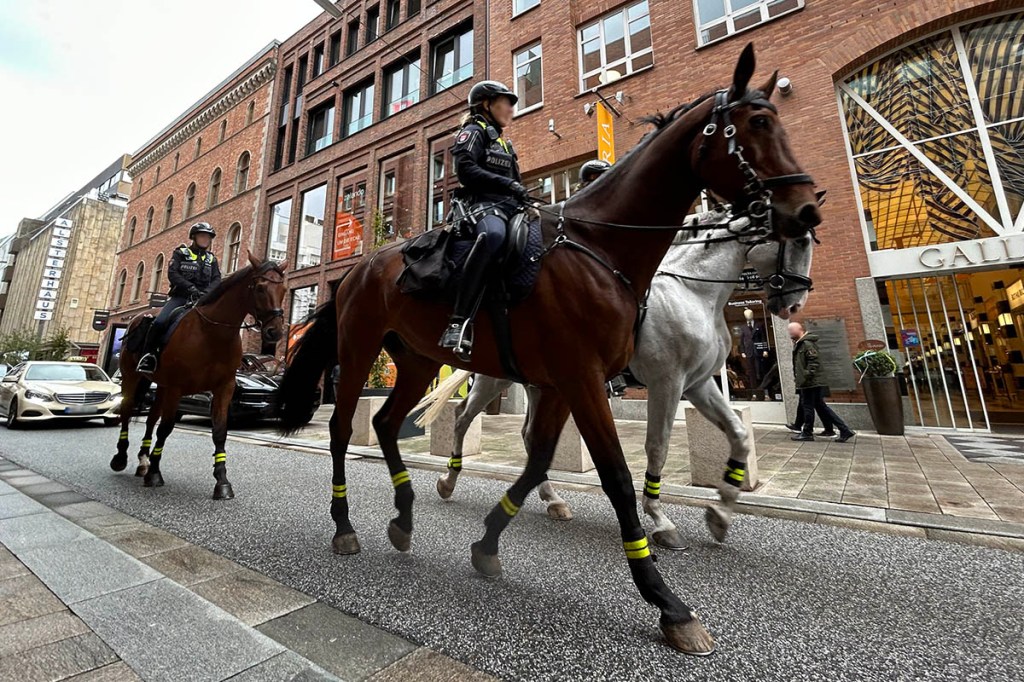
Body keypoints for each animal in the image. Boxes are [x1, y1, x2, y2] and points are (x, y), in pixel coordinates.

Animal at [111, 251, 288, 497]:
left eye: (284, 290)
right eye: (260, 288)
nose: (275, 332)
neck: (212, 333)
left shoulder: (224, 387)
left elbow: (220, 431)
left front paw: (222, 481)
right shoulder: (177, 387)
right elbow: (166, 429)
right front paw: (155, 474)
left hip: (160, 385)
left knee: (151, 419)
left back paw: (144, 460)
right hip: (133, 377)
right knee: (128, 412)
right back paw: (121, 457)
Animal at [419, 212, 811, 548]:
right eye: (801, 240)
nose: (794, 304)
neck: (692, 292)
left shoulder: (698, 384)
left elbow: (739, 435)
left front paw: (720, 514)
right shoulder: (668, 382)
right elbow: (658, 446)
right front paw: (661, 521)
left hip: (542, 385)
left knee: (529, 435)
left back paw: (551, 499)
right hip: (496, 380)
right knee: (463, 417)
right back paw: (448, 482)